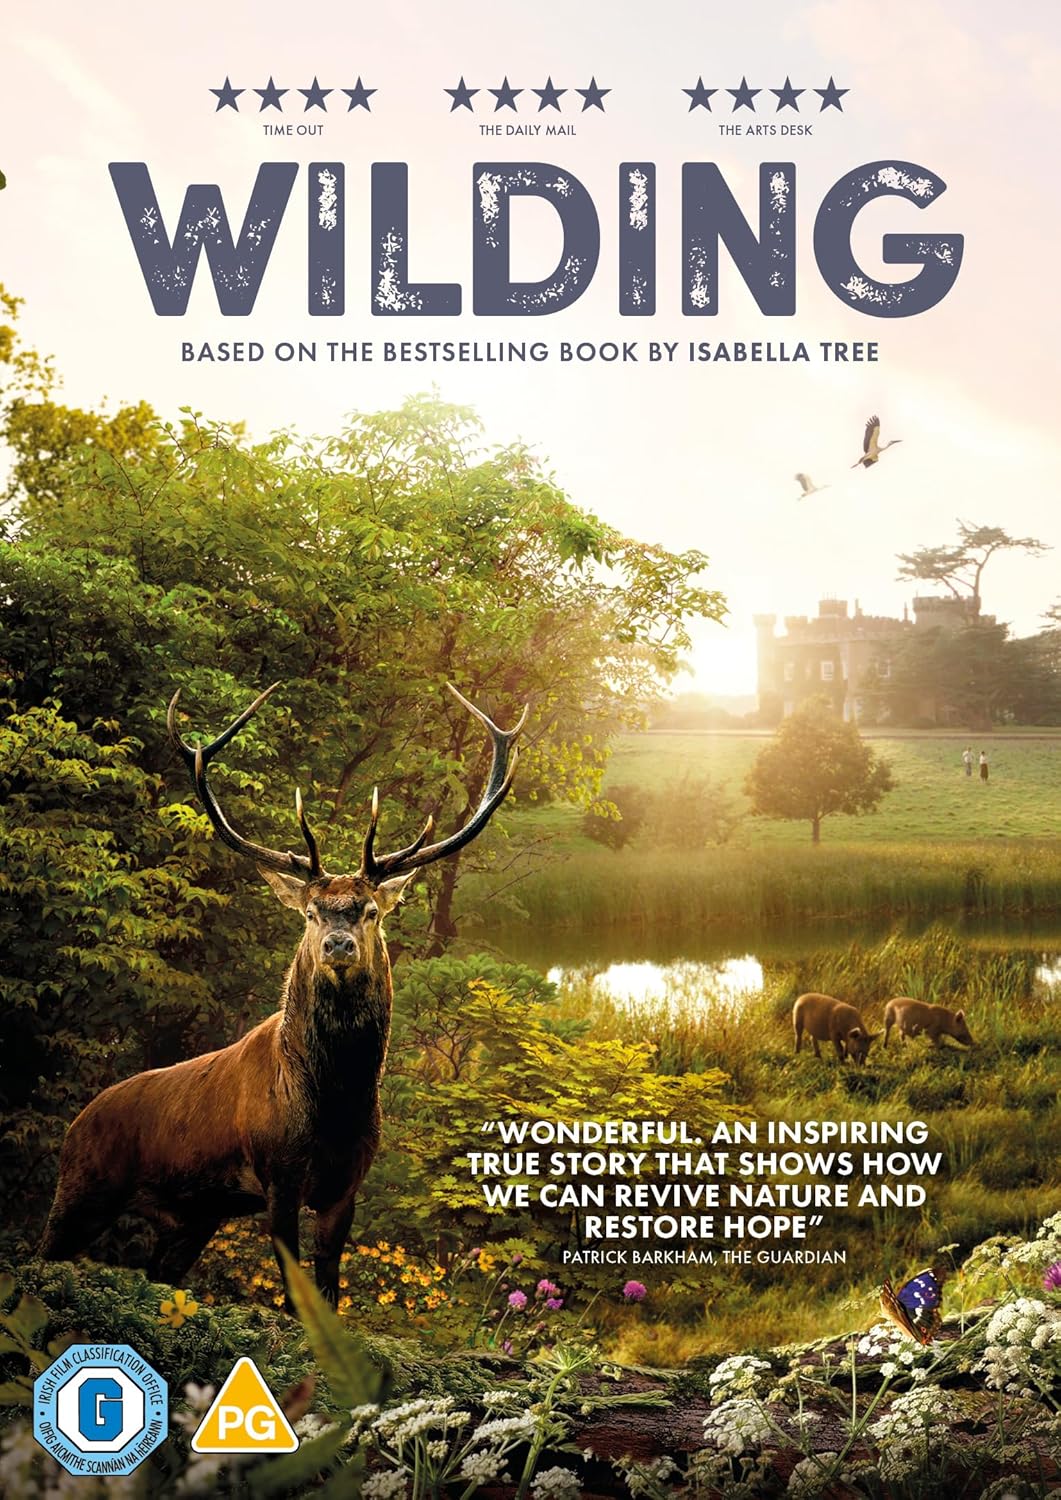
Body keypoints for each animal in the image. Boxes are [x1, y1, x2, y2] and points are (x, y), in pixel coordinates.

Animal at [39, 681, 525, 1308]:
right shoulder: (278, 1174)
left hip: (193, 1216)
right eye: (312, 912)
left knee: (159, 1271)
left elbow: (329, 1287)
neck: (335, 1102)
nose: (338, 944)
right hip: (82, 1188)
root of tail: (75, 1124)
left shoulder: (347, 1183)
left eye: (370, 911)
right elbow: (297, 1293)